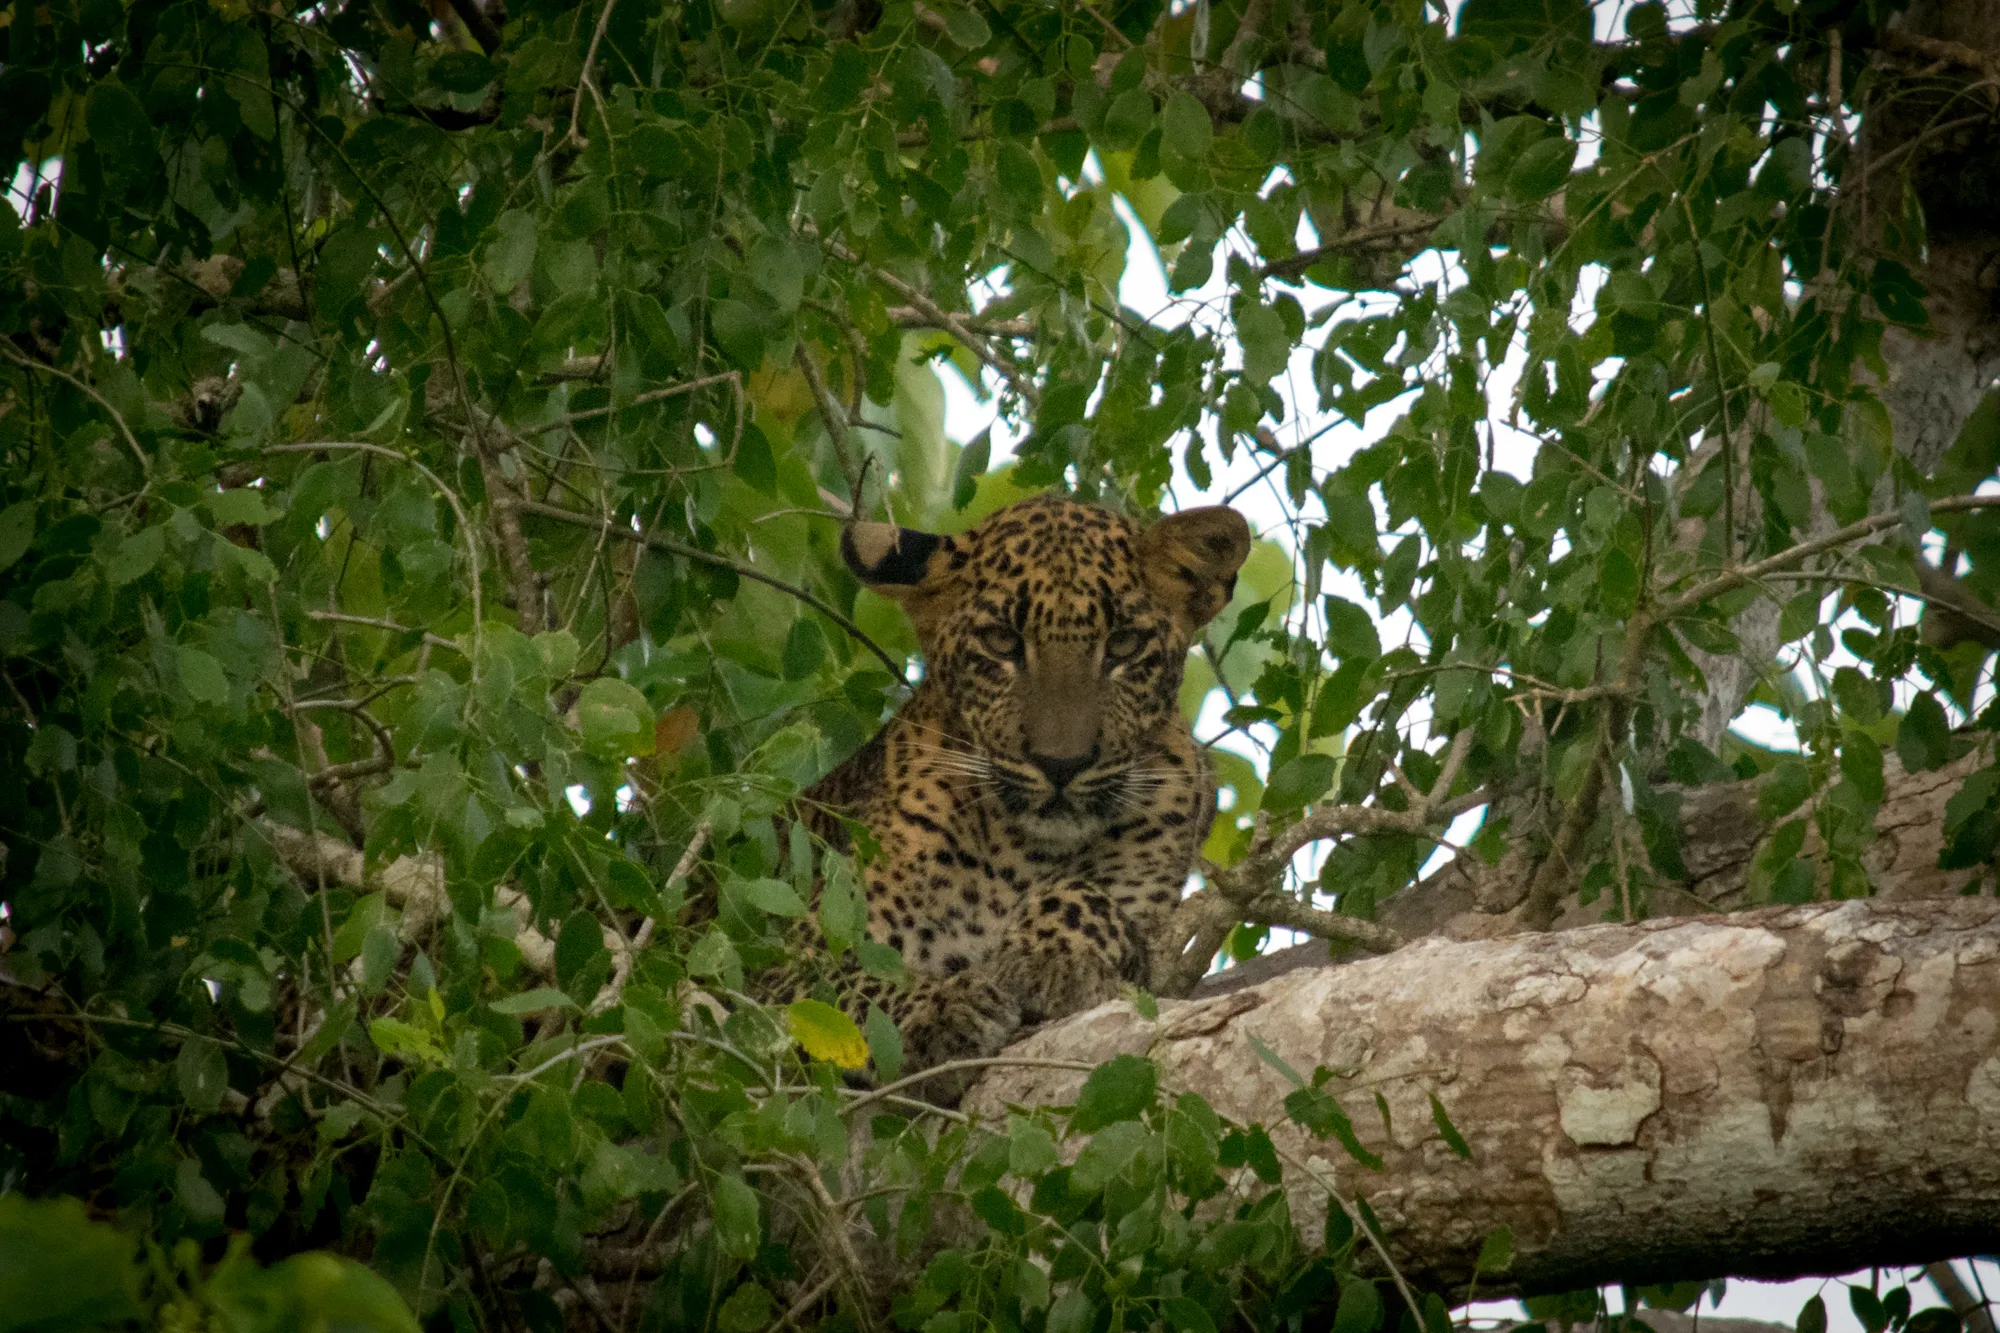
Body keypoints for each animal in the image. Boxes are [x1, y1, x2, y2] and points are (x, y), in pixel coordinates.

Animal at [795, 494, 1251, 1081]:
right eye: (1001, 642)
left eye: (1124, 645)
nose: (1062, 765)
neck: (1024, 853)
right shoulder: (792, 949)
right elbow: (843, 993)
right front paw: (942, 1010)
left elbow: (1090, 894)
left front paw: (1051, 955)